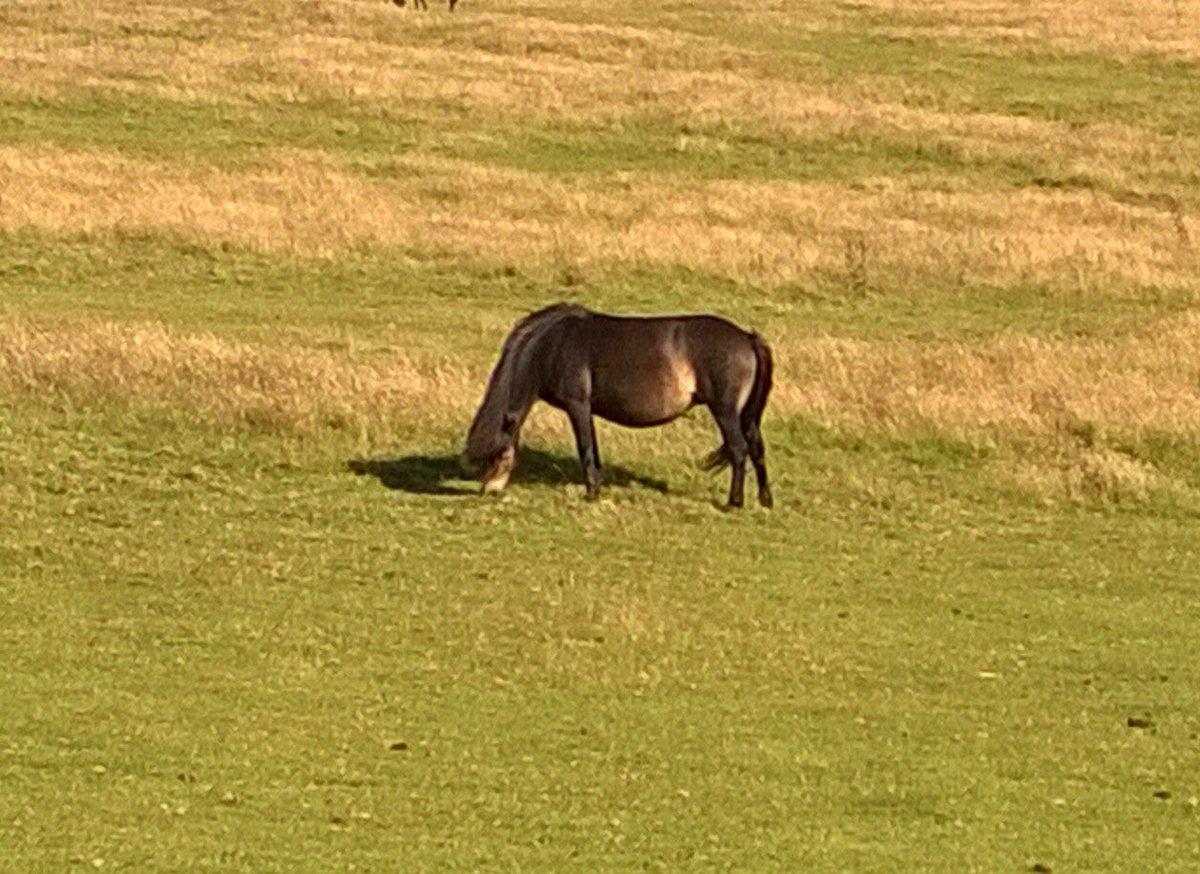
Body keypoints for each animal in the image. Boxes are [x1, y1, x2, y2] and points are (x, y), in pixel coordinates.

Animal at [462, 304, 774, 508]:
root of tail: (747, 338)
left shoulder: (578, 405)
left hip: (726, 411)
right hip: (746, 416)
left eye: (495, 453)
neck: (550, 345)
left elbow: (585, 447)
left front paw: (591, 492)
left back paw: (734, 502)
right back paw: (765, 500)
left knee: (739, 450)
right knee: (757, 448)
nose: (486, 489)